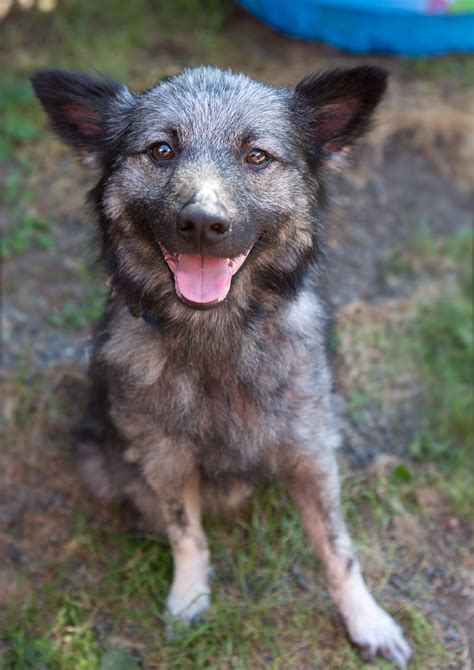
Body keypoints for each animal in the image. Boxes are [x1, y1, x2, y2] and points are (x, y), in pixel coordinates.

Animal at [32, 61, 412, 668]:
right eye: (161, 150)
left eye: (256, 155)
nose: (203, 223)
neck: (216, 337)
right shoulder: (165, 457)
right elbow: (188, 534)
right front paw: (189, 600)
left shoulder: (309, 453)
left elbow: (339, 550)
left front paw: (367, 620)